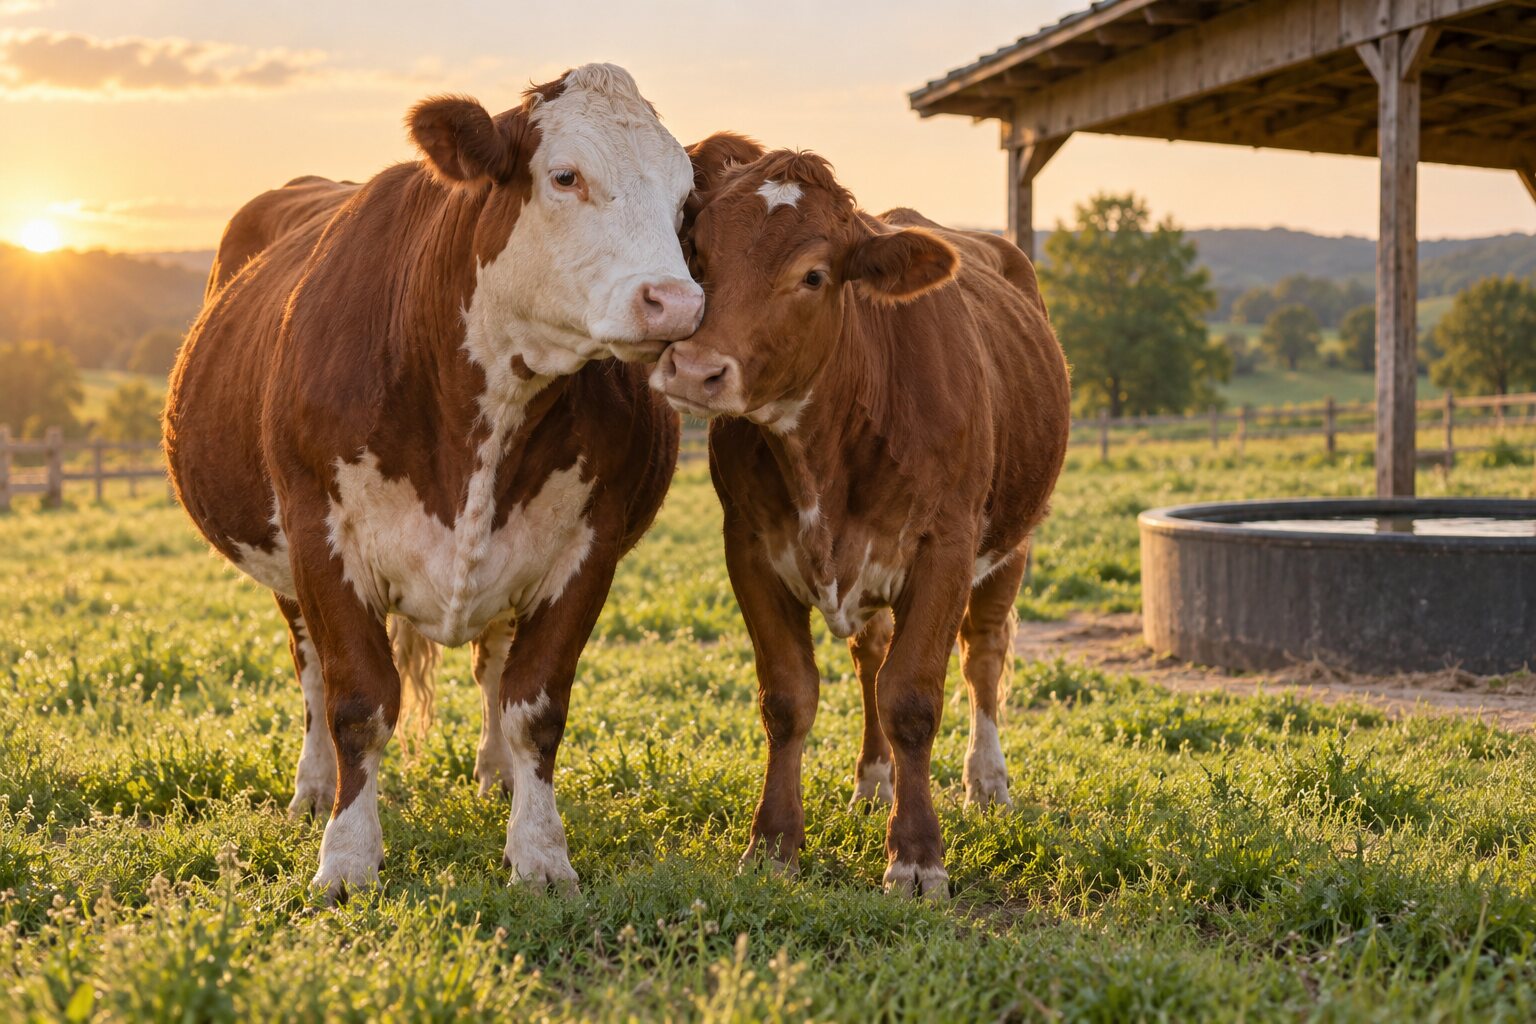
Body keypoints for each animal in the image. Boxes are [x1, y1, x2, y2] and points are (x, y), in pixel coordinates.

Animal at [164, 64, 700, 900]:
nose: (675, 303)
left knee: (495, 669)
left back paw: (498, 776)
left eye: (684, 201)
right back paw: (314, 789)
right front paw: (345, 858)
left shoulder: (588, 546)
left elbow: (535, 705)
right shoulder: (320, 534)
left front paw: (540, 853)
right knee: (310, 673)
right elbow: (356, 701)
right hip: (283, 564)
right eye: (566, 176)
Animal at [651, 135, 1071, 899]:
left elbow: (913, 698)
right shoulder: (749, 549)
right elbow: (790, 696)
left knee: (983, 655)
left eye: (814, 275)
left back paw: (987, 781)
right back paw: (875, 782)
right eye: (696, 250)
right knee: (871, 656)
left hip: (1013, 542)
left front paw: (916, 856)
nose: (695, 370)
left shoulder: (946, 547)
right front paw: (773, 843)